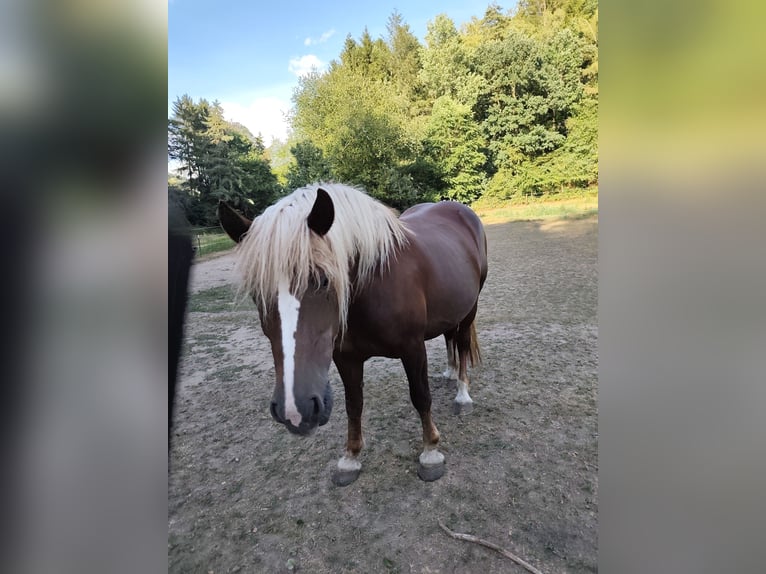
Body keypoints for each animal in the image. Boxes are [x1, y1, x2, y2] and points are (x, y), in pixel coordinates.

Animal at [218, 183, 487, 485]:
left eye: (323, 281)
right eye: (256, 293)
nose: (295, 410)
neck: (375, 282)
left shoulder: (413, 349)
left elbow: (420, 396)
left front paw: (431, 452)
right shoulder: (346, 358)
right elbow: (353, 404)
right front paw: (351, 457)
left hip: (470, 310)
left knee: (461, 344)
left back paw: (462, 394)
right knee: (448, 337)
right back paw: (450, 372)